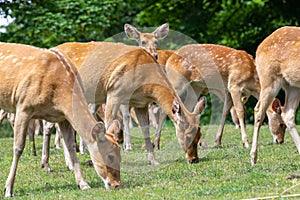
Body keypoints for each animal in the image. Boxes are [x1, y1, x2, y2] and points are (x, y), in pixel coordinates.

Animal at [0, 42, 122, 197]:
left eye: (120, 156)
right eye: (110, 156)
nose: (117, 185)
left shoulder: (62, 116)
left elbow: (71, 145)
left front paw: (83, 184)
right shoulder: (23, 106)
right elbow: (18, 147)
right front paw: (8, 189)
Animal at [250, 25, 300, 165]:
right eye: (280, 125)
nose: (280, 141)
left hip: (292, 85)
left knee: (288, 113)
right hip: (269, 79)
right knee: (258, 111)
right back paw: (253, 158)